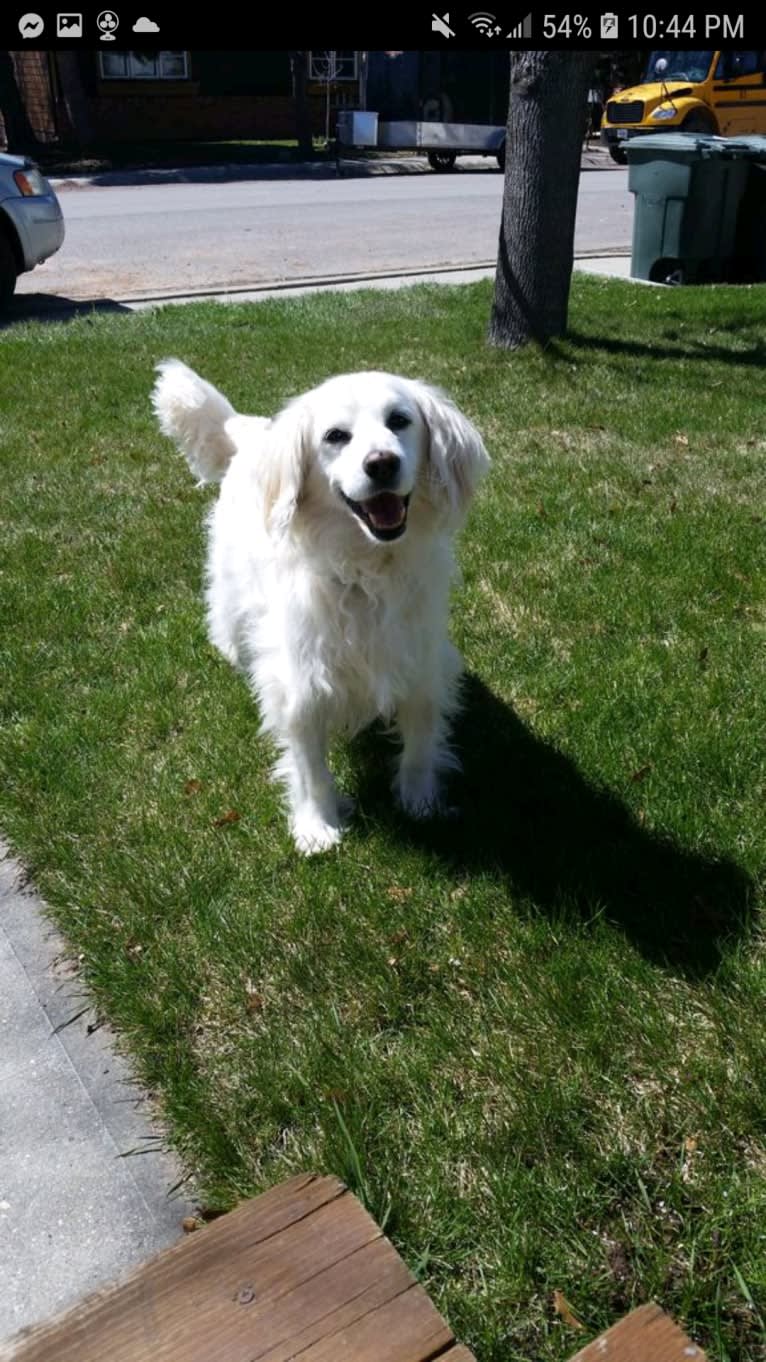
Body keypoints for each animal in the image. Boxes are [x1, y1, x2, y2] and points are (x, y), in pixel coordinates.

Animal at [153, 362, 487, 849]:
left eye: (399, 420)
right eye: (335, 436)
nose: (382, 463)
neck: (366, 572)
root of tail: (250, 432)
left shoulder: (420, 665)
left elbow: (421, 744)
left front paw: (421, 802)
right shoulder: (303, 686)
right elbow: (311, 770)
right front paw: (317, 826)